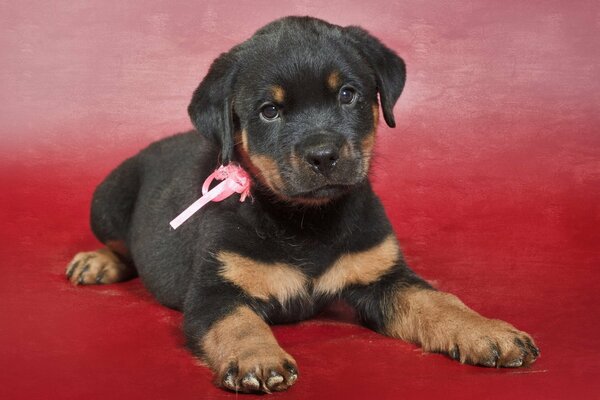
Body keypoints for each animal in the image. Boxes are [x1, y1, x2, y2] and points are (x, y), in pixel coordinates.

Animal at [65, 16, 540, 394]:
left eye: (347, 94)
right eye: (269, 111)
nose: (323, 155)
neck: (308, 220)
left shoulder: (384, 275)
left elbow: (439, 301)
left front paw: (487, 331)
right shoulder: (214, 293)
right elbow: (240, 323)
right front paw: (258, 358)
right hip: (106, 198)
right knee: (119, 244)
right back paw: (97, 261)